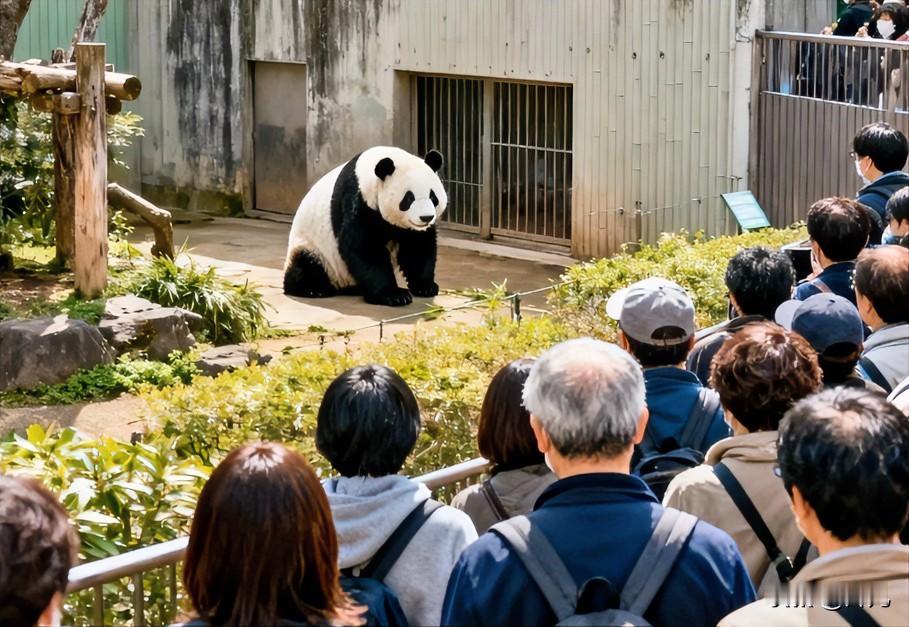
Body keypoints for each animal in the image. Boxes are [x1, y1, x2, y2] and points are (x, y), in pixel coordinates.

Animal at [283, 146, 447, 307]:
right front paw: (395, 295)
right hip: (314, 247)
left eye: (433, 197)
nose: (426, 217)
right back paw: (314, 289)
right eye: (408, 199)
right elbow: (365, 247)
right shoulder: (358, 202)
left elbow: (417, 247)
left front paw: (425, 287)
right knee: (306, 263)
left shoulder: (412, 230)